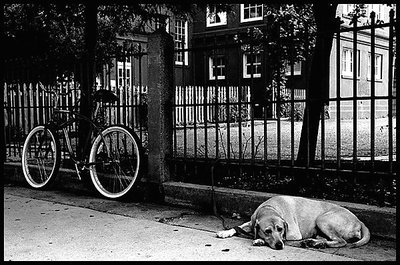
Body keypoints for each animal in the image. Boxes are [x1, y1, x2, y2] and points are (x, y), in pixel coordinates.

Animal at [217, 194, 370, 250]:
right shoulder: (251, 222)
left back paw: (315, 243)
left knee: (341, 241)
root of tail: (359, 221)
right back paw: (315, 242)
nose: (279, 245)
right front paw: (225, 232)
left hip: (322, 219)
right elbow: (238, 226)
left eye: (280, 229)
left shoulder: (293, 234)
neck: (270, 208)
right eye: (267, 231)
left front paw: (259, 240)